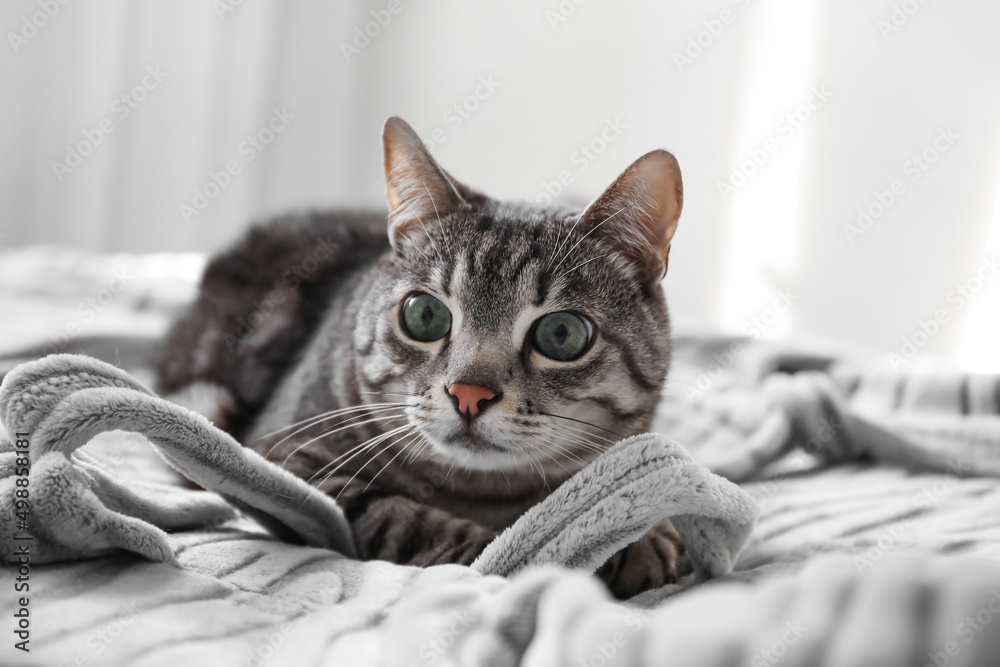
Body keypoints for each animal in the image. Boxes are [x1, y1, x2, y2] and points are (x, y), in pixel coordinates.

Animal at [158, 116, 688, 600]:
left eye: (562, 334)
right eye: (425, 315)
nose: (469, 393)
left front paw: (643, 533)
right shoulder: (286, 465)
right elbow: (425, 526)